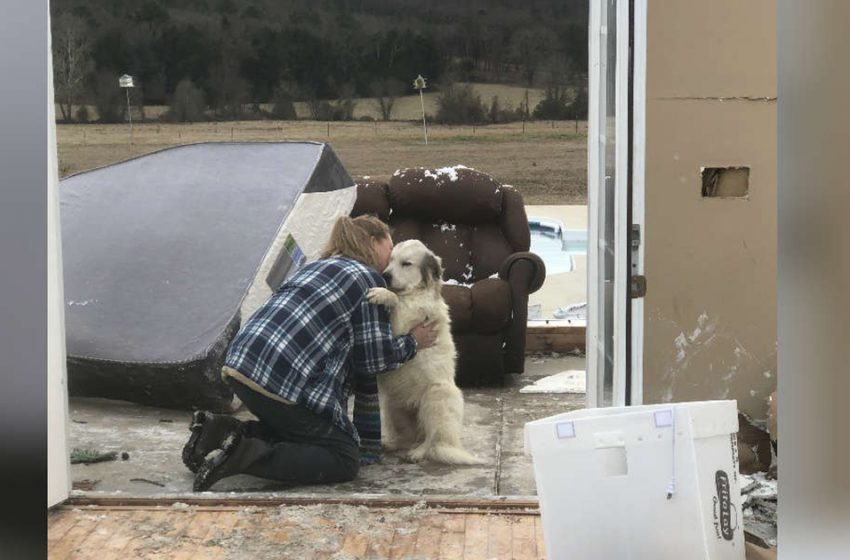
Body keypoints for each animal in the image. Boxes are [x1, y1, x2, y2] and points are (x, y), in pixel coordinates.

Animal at [366, 240, 480, 464]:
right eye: (391, 260)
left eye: (406, 263)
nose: (385, 276)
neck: (414, 292)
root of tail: (451, 444)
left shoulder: (403, 323)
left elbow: (397, 301)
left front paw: (383, 293)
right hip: (391, 405)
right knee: (408, 437)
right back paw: (393, 444)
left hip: (434, 397)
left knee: (431, 439)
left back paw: (418, 452)